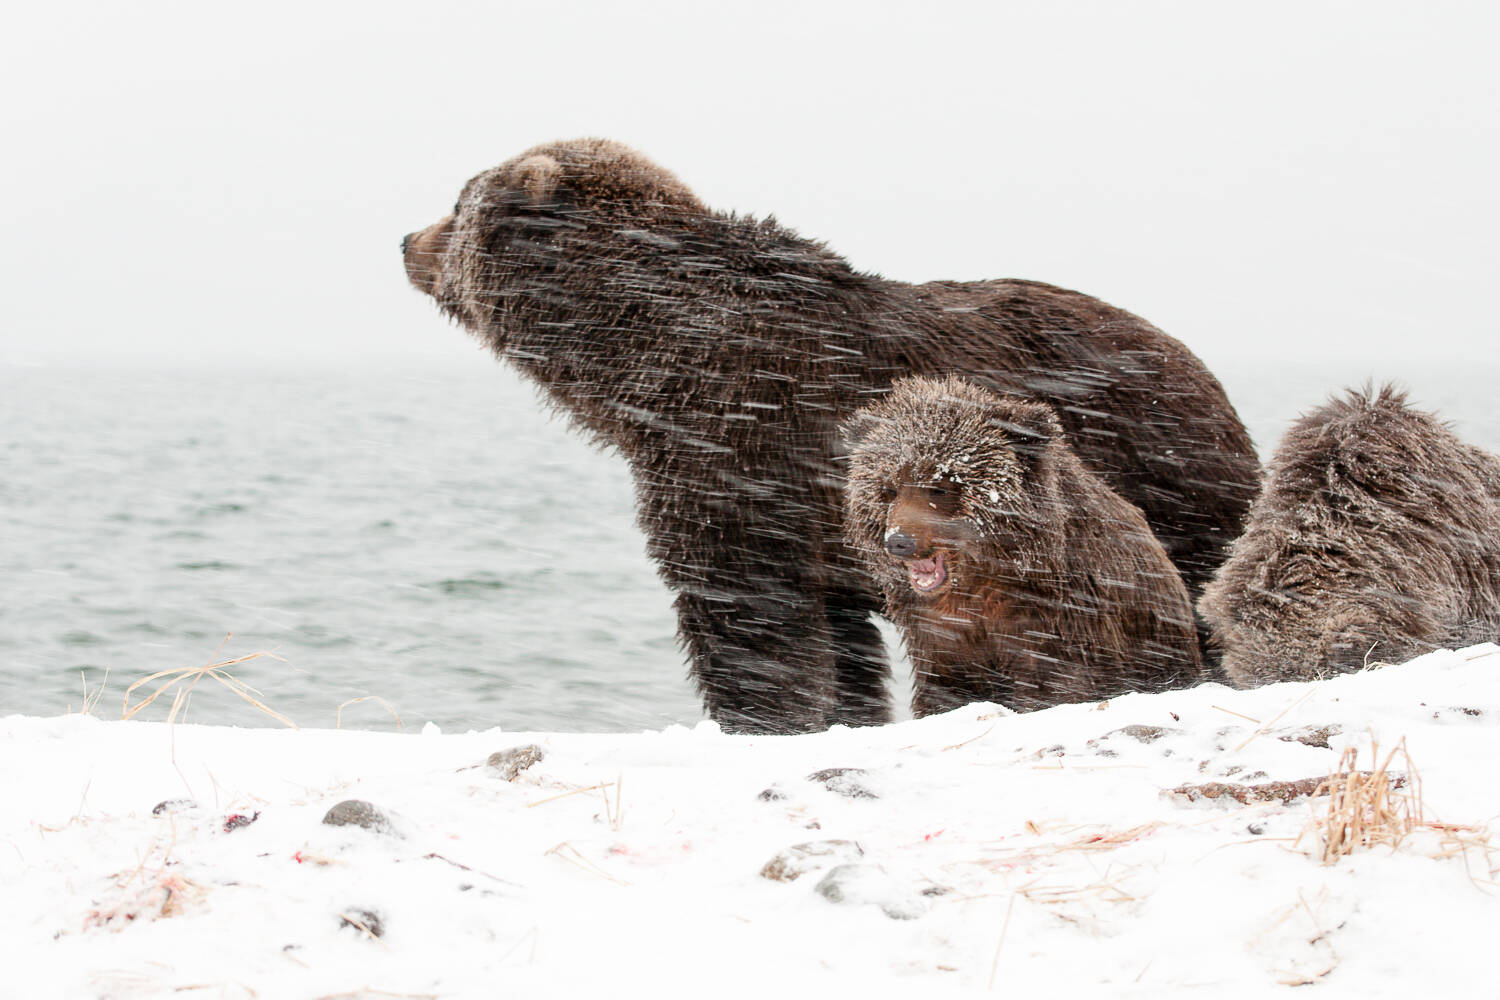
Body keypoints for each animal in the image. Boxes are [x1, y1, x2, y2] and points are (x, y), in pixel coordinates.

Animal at [399, 137, 1254, 734]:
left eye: (458, 200)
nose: (406, 241)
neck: (641, 360)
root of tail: (1203, 369)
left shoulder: (737, 452)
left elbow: (743, 619)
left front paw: (758, 721)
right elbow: (841, 647)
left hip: (1162, 469)